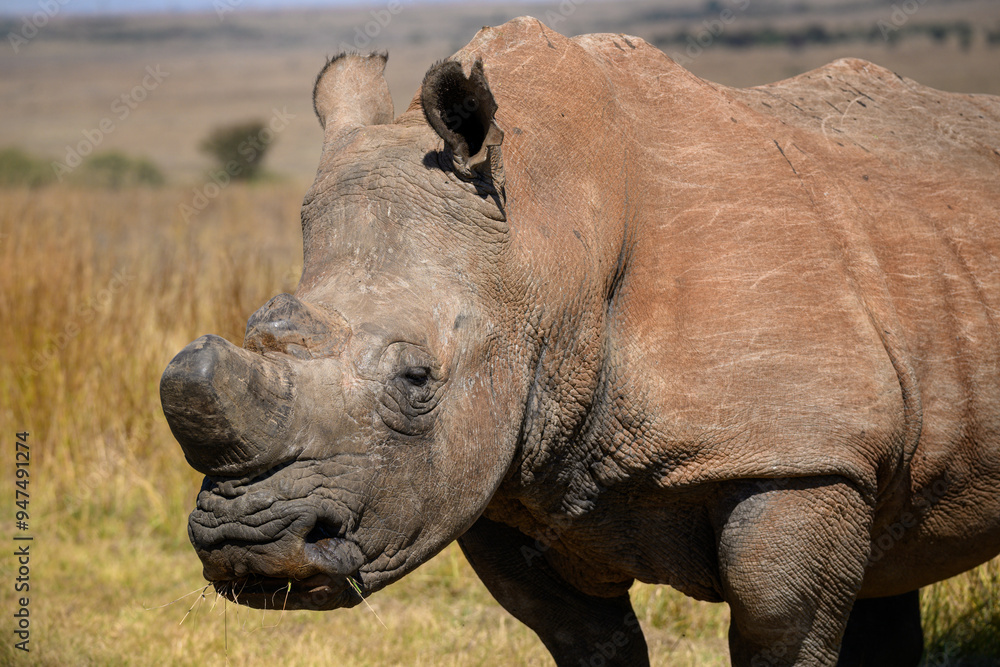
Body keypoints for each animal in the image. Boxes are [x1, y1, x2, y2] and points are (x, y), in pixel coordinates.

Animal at [160, 17, 1000, 666]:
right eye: (261, 326)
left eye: (417, 377)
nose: (249, 546)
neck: (547, 233)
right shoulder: (504, 478)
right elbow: (588, 639)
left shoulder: (803, 456)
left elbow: (780, 634)